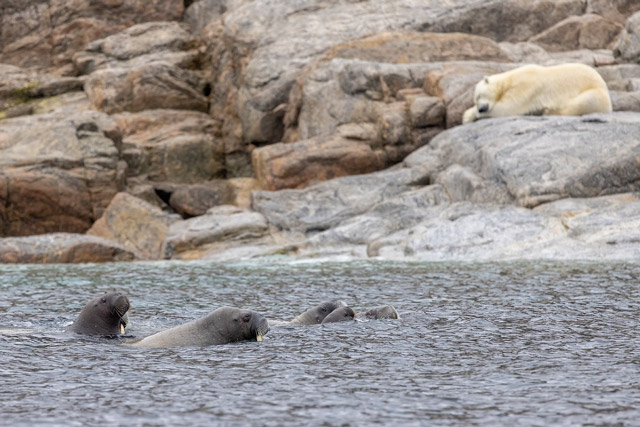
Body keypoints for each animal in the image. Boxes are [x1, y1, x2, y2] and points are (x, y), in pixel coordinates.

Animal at [462, 63, 612, 124]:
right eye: (476, 99)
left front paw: (468, 115)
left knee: (584, 101)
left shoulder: (527, 85)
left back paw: (547, 112)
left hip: (596, 92)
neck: (510, 79)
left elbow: (508, 107)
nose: (481, 108)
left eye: (479, 95)